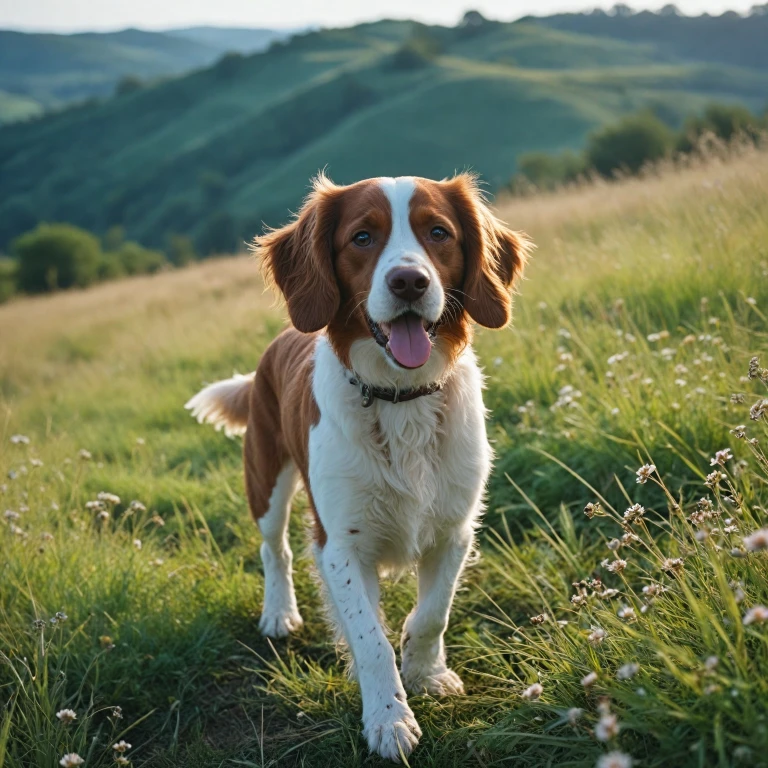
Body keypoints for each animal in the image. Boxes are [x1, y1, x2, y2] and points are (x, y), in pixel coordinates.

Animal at [188, 174, 528, 760]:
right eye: (362, 237)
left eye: (438, 232)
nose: (409, 281)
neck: (399, 399)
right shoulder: (340, 544)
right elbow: (371, 639)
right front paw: (389, 719)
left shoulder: (454, 530)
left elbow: (432, 614)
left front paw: (426, 673)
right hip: (266, 482)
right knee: (274, 550)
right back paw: (279, 613)